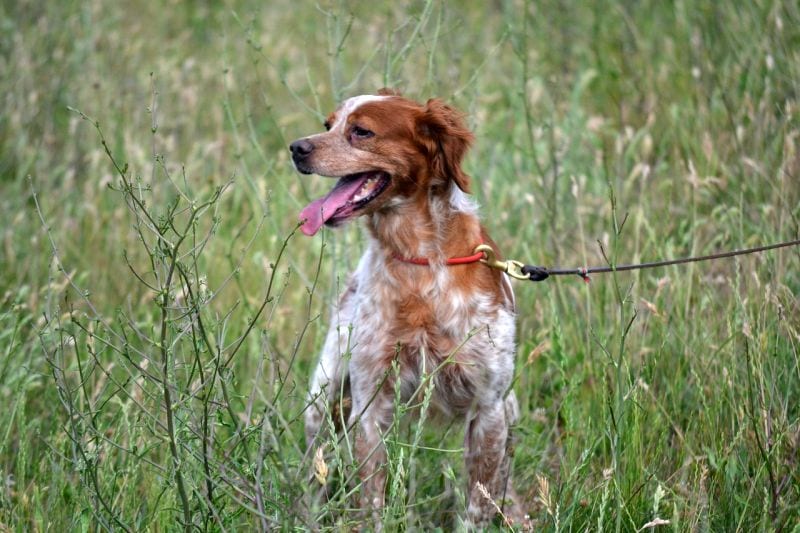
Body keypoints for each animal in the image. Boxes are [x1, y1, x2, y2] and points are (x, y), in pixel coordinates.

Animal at [290, 89, 520, 524]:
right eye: (329, 124)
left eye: (361, 131)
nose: (296, 147)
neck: (419, 261)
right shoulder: (369, 404)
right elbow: (372, 502)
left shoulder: (489, 408)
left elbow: (477, 506)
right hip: (323, 400)